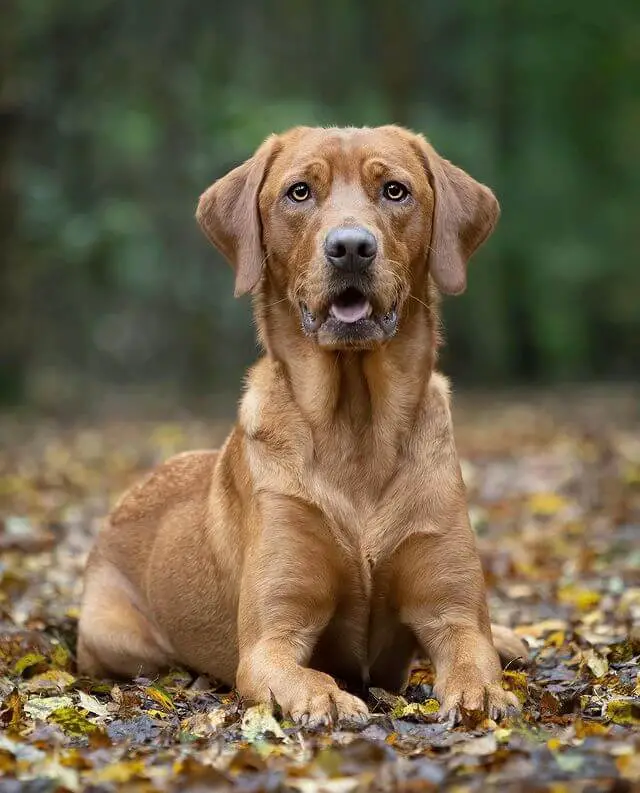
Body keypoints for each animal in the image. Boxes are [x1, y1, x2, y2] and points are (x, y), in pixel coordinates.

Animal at [76, 124, 524, 724]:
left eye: (395, 191)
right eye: (299, 192)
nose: (351, 247)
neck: (356, 426)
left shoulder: (451, 611)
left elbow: (475, 656)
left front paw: (483, 695)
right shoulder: (271, 636)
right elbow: (298, 671)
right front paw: (326, 696)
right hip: (119, 638)